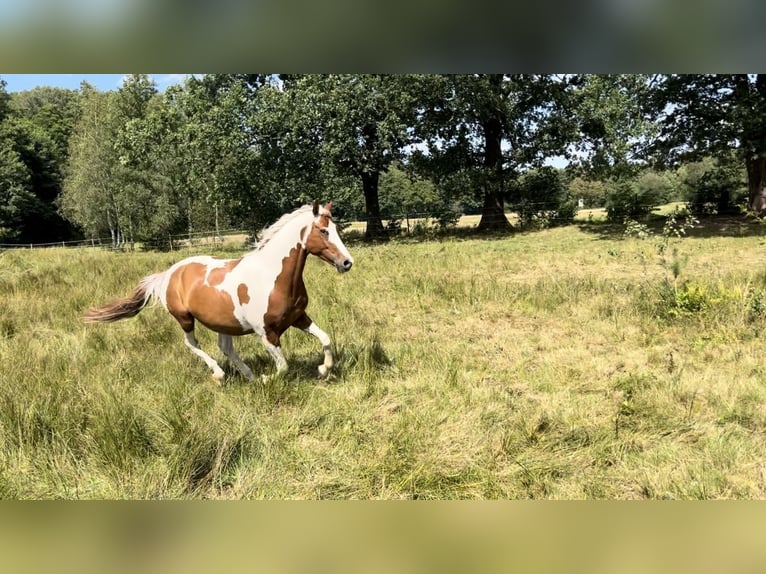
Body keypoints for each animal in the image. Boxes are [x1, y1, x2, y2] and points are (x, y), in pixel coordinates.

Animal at [85, 200, 356, 384]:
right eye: (323, 231)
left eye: (335, 229)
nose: (347, 263)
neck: (273, 276)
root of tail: (169, 274)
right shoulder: (266, 333)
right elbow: (283, 367)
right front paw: (267, 379)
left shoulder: (299, 317)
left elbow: (325, 339)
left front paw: (322, 370)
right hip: (185, 319)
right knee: (191, 343)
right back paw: (219, 374)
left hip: (223, 322)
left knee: (225, 347)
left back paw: (248, 375)